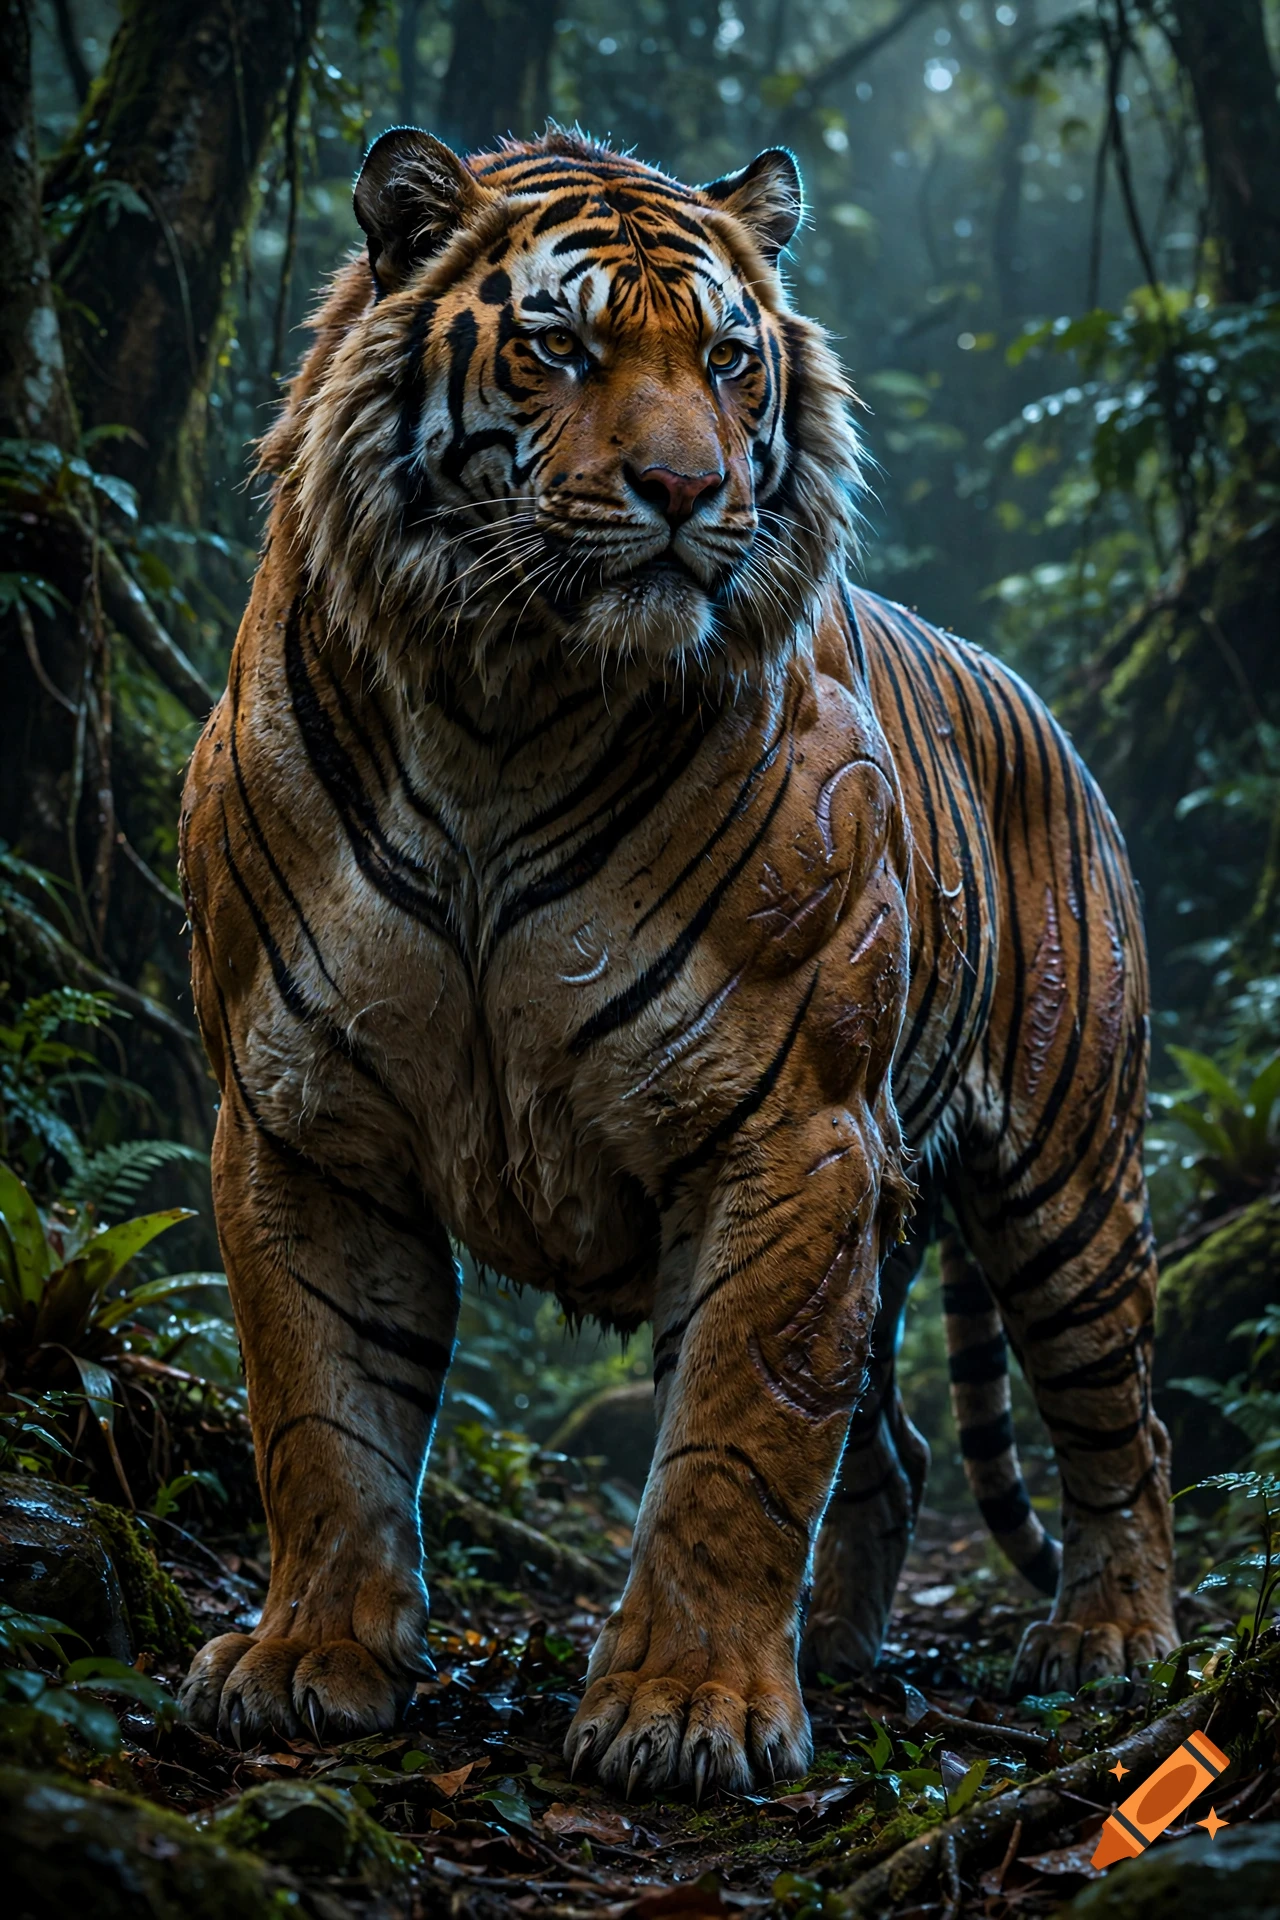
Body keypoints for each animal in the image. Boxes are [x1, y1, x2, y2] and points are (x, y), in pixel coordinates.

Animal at [176, 126, 1177, 1799]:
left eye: (727, 358)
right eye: (561, 347)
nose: (684, 489)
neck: (496, 712)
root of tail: (1041, 705)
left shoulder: (792, 1125)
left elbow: (737, 1434)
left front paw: (686, 1708)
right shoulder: (301, 1116)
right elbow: (320, 1417)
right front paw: (308, 1659)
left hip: (1066, 1175)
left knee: (1124, 1425)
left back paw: (1112, 1641)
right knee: (896, 1444)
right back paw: (838, 1648)